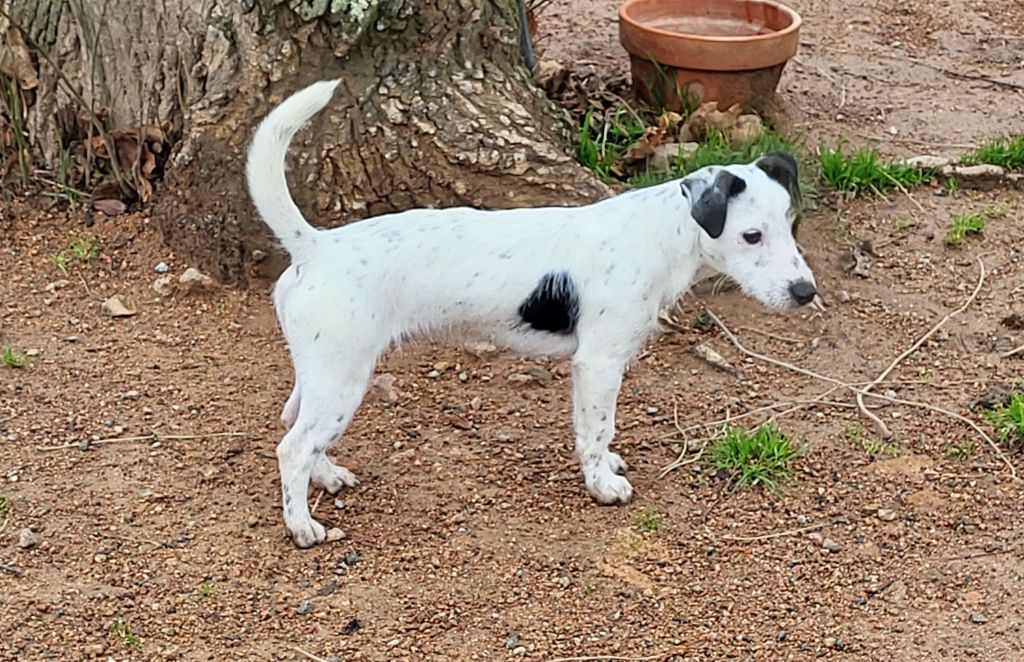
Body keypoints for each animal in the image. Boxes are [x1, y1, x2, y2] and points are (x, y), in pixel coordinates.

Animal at [245, 80, 815, 549]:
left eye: (792, 225)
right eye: (751, 236)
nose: (806, 292)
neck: (658, 233)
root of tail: (316, 246)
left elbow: (593, 430)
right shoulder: (599, 364)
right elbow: (598, 428)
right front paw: (602, 485)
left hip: (324, 373)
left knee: (297, 425)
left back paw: (326, 476)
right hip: (343, 376)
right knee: (292, 448)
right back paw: (301, 526)